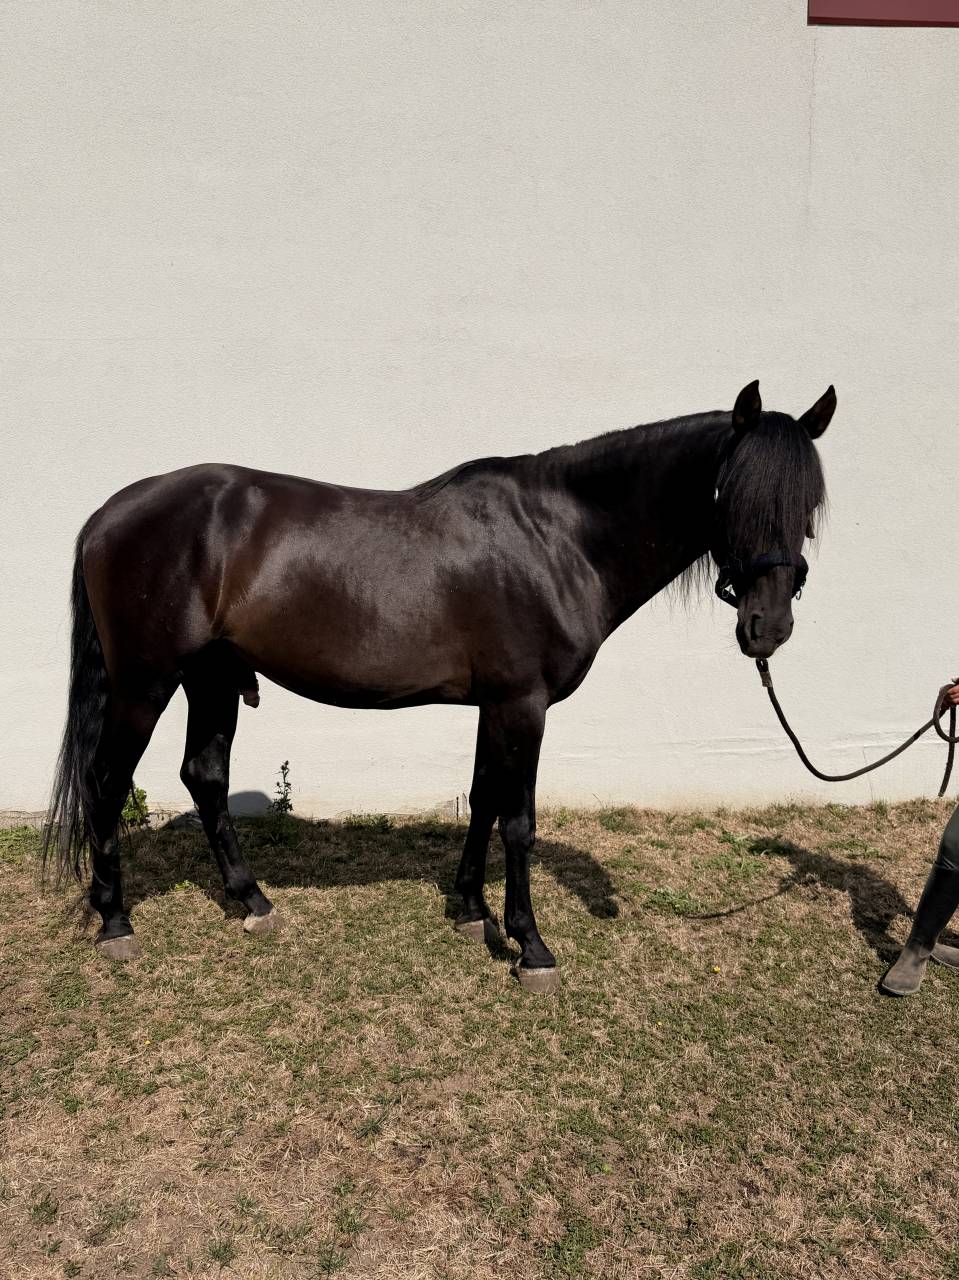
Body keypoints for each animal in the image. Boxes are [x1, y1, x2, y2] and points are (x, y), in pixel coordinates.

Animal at [44, 379, 835, 989]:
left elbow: (482, 798)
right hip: (145, 683)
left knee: (203, 775)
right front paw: (530, 946)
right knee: (109, 781)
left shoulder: (497, 704)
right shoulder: (523, 704)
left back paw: (252, 902)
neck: (557, 539)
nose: (767, 626)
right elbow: (518, 820)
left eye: (808, 506)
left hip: (209, 677)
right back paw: (115, 920)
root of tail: (110, 513)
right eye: (729, 494)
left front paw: (468, 910)